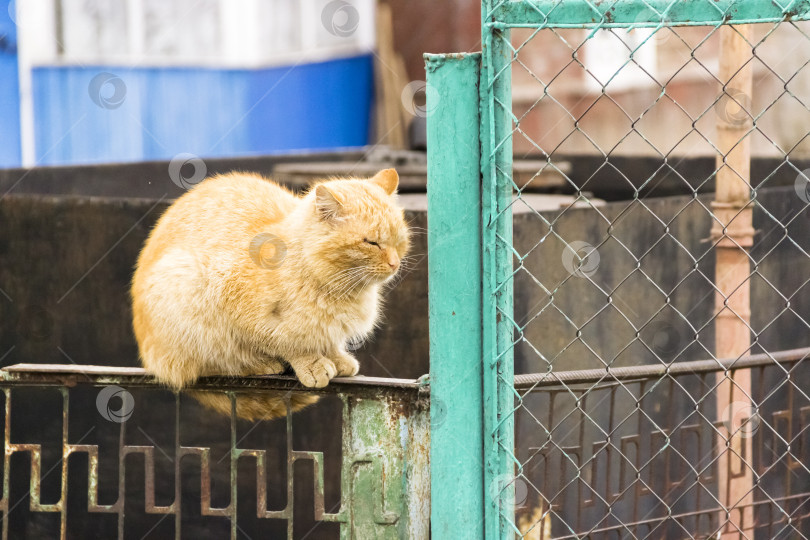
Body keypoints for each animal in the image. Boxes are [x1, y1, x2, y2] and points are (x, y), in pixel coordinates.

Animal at [134, 169, 410, 422]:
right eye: (371, 243)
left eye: (399, 240)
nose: (395, 264)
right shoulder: (241, 311)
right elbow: (286, 342)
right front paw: (310, 362)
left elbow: (327, 339)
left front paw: (336, 357)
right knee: (206, 365)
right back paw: (257, 364)